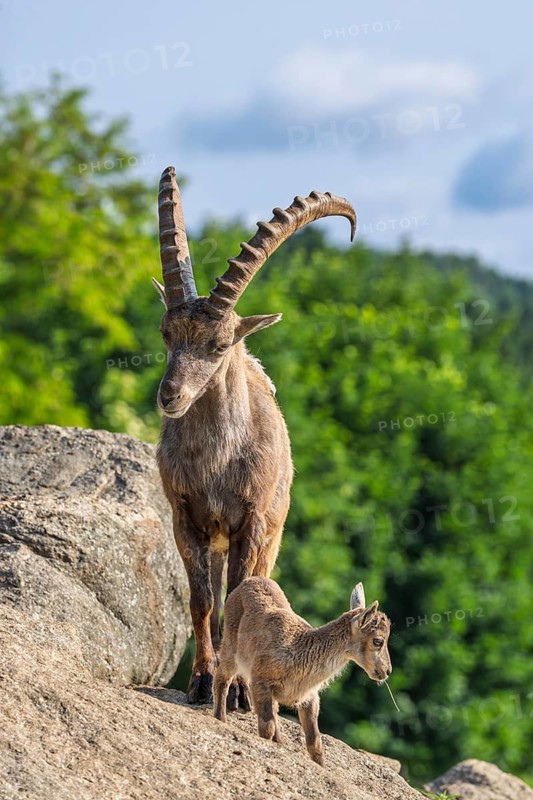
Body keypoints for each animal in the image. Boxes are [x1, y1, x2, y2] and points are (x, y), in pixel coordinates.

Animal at [153, 167, 356, 706]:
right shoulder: (187, 519)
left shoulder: (252, 521)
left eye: (221, 344)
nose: (170, 396)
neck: (217, 461)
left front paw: (239, 692)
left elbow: (241, 598)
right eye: (165, 333)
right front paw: (202, 681)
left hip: (273, 533)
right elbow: (202, 601)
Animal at [213, 577, 391, 766]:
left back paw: (280, 741)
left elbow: (315, 743)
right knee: (221, 678)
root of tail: (247, 582)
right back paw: (220, 718)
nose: (386, 671)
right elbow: (266, 728)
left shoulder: (310, 697)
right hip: (230, 649)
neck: (297, 652)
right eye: (378, 641)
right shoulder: (260, 682)